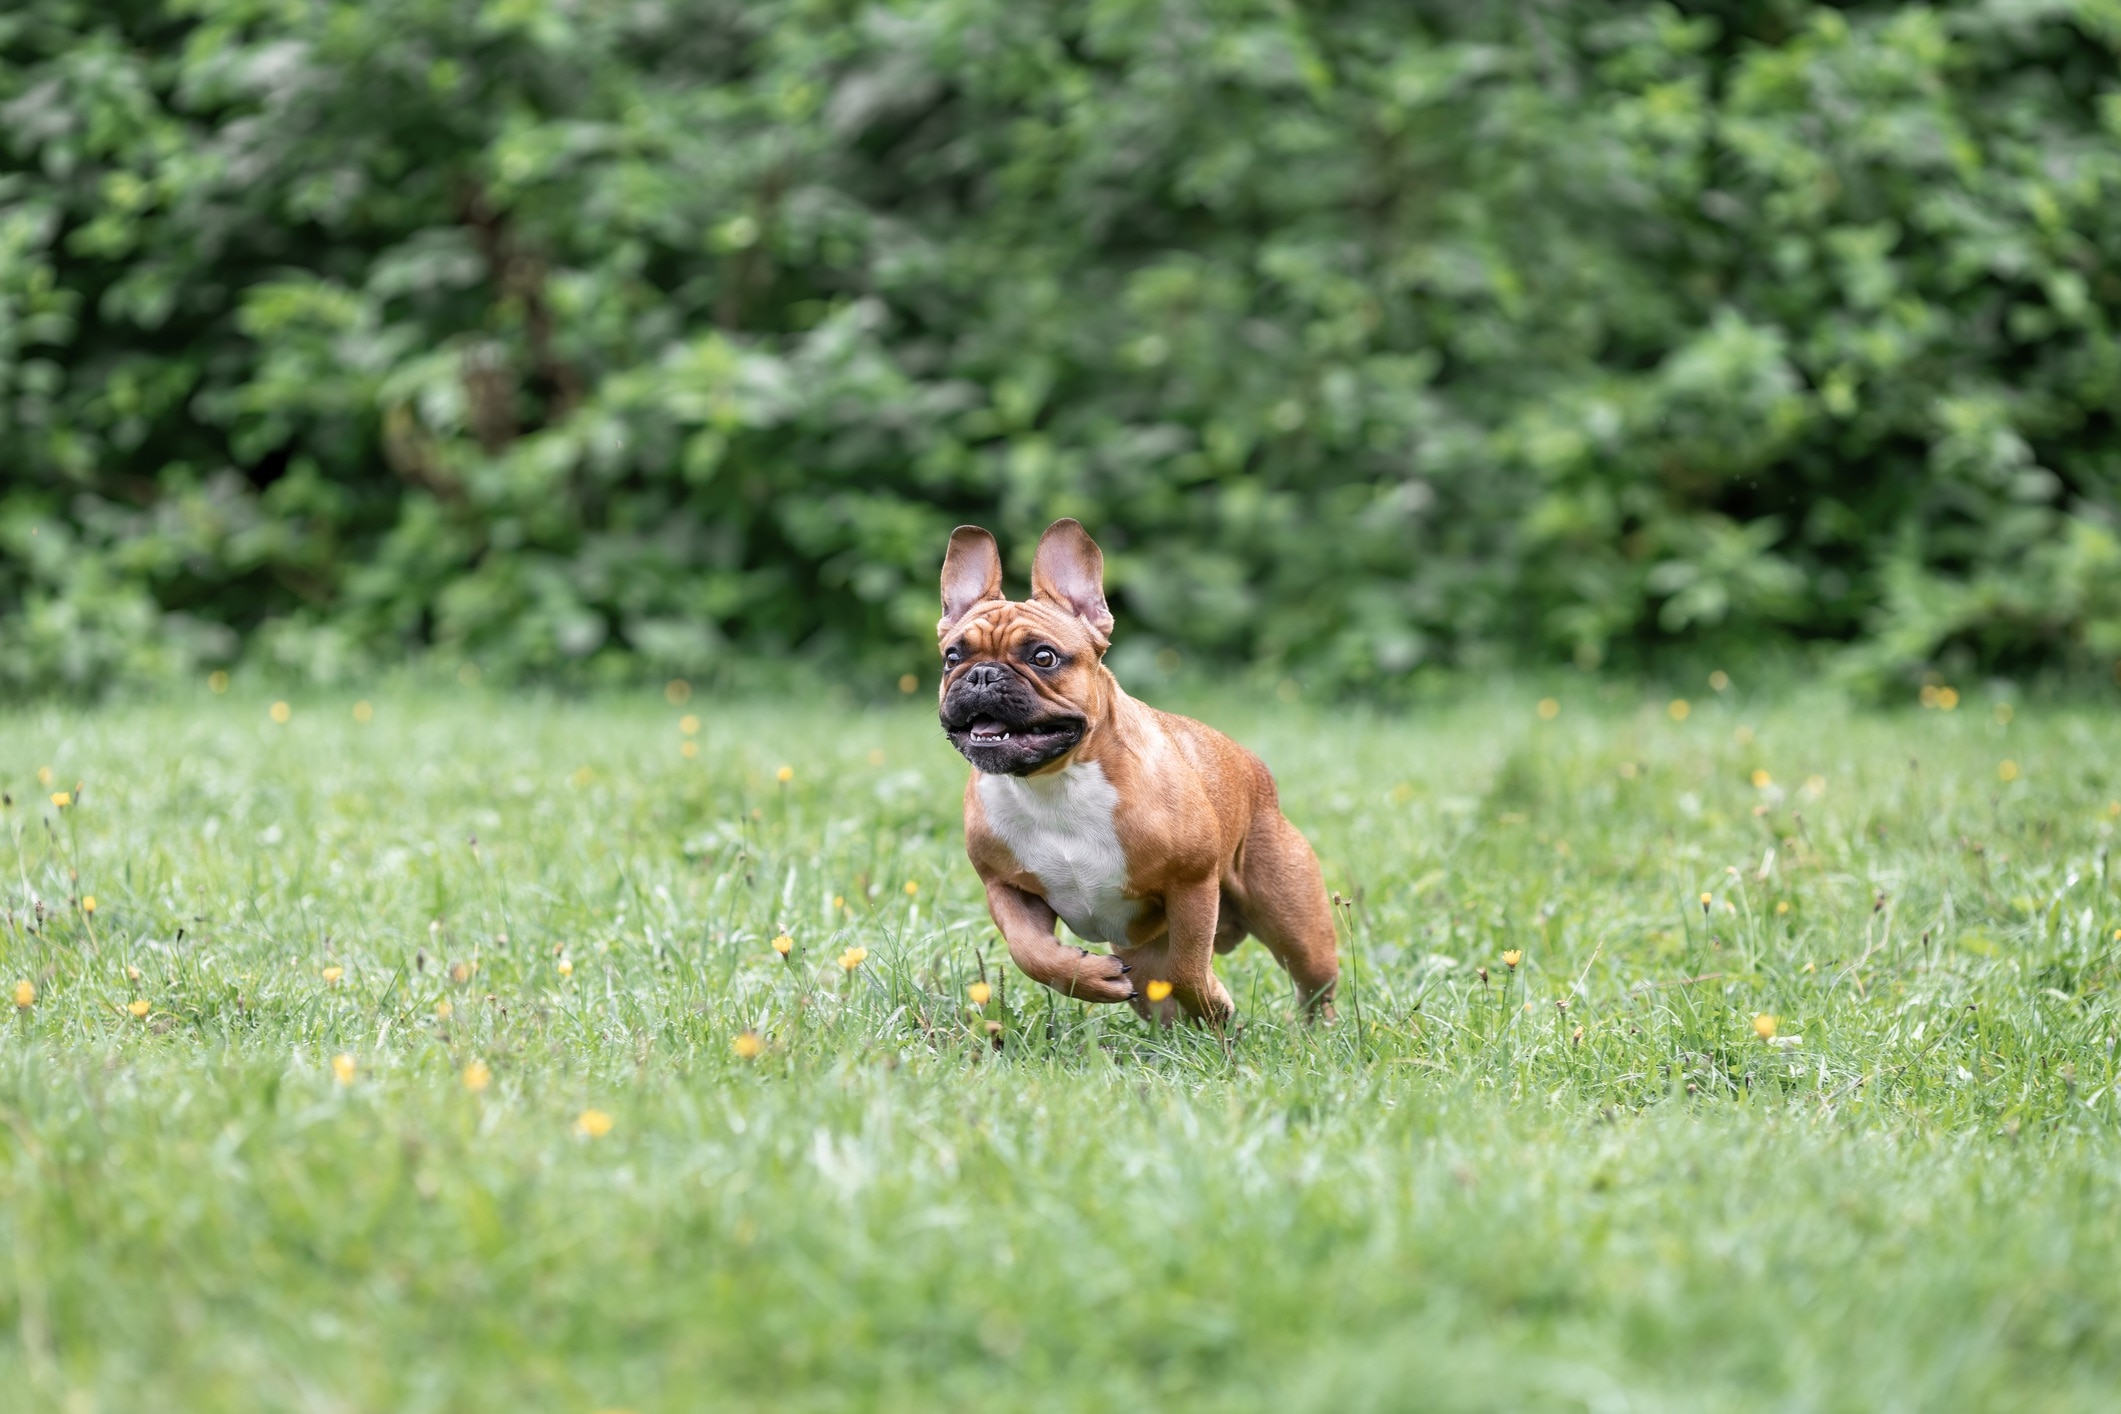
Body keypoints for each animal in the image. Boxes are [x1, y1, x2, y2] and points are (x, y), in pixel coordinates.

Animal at [937, 519, 1331, 1030]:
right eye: (951, 657)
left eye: (1043, 657)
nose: (981, 674)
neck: (1053, 785)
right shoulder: (1005, 887)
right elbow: (1033, 954)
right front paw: (1087, 978)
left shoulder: (1192, 886)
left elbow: (1187, 968)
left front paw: (1214, 1001)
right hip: (1141, 955)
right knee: (1155, 992)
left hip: (1294, 920)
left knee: (1312, 982)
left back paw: (1315, 1031)